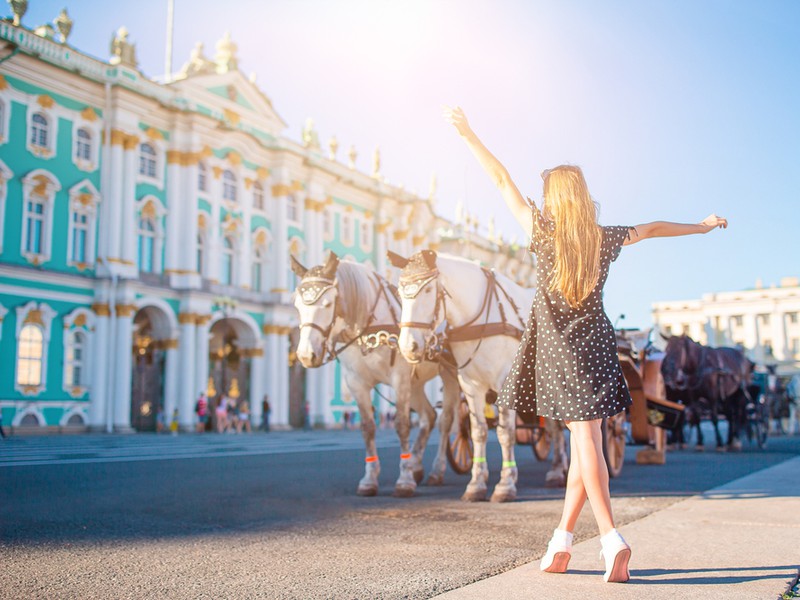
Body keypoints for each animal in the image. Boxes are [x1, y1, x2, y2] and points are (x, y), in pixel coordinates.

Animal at [290, 253, 460, 496]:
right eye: (297, 304)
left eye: (328, 303)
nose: (306, 355)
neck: (367, 332)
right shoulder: (356, 383)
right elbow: (367, 428)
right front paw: (369, 479)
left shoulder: (399, 380)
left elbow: (402, 425)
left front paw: (404, 480)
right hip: (416, 384)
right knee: (428, 416)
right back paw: (417, 466)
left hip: (450, 376)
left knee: (445, 420)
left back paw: (436, 471)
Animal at [390, 248, 564, 502]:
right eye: (400, 294)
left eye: (429, 290)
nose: (407, 346)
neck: (481, 320)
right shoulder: (470, 385)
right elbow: (479, 432)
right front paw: (476, 484)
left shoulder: (505, 383)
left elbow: (506, 433)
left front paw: (505, 485)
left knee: (557, 426)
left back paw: (559, 471)